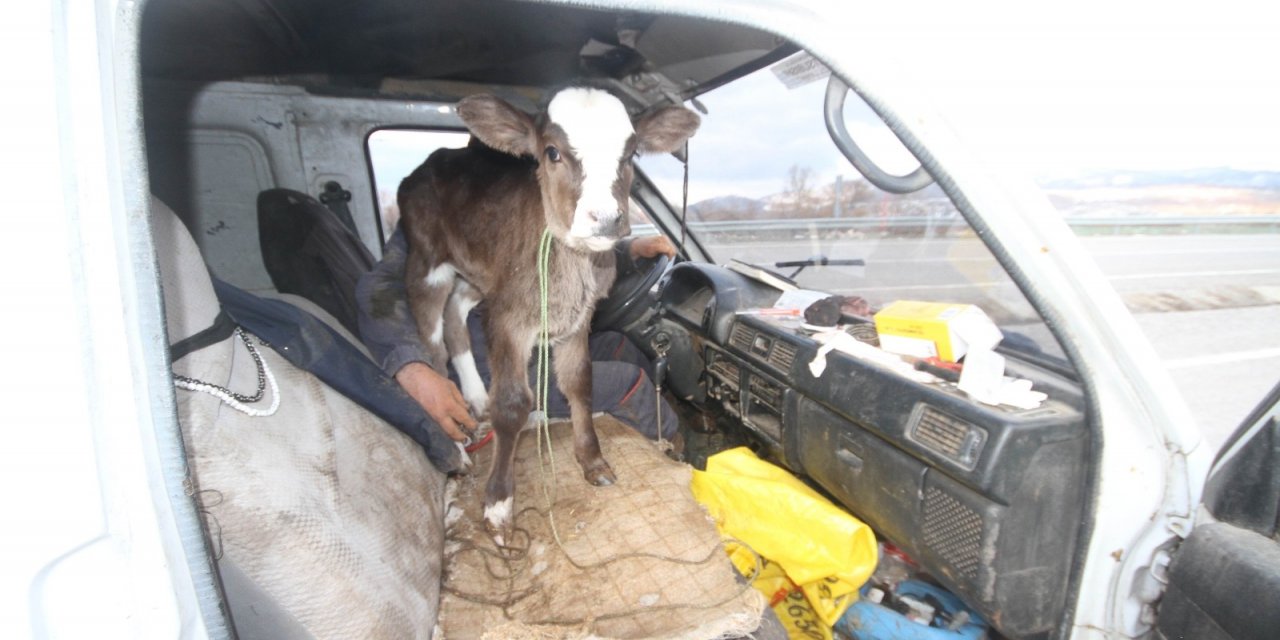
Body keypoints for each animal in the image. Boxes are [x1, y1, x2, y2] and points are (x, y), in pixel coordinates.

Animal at [399, 87, 701, 542]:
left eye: (631, 153)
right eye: (552, 152)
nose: (606, 219)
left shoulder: (576, 318)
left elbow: (579, 383)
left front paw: (592, 460)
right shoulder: (509, 319)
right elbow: (512, 404)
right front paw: (498, 503)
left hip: (482, 278)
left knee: (456, 315)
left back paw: (476, 395)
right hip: (427, 262)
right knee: (432, 346)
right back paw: (458, 444)